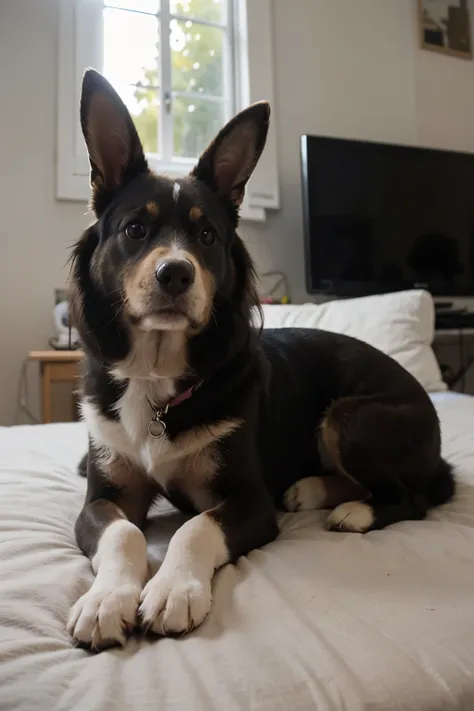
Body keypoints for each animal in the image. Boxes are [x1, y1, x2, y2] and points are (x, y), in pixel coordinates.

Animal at [67, 69, 456, 652]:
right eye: (136, 229)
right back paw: (311, 488)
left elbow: (194, 528)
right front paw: (105, 601)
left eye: (207, 235)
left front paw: (174, 590)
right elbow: (123, 532)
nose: (175, 274)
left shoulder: (249, 502)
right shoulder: (102, 495)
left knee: (413, 496)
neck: (159, 372)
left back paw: (353, 508)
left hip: (353, 416)